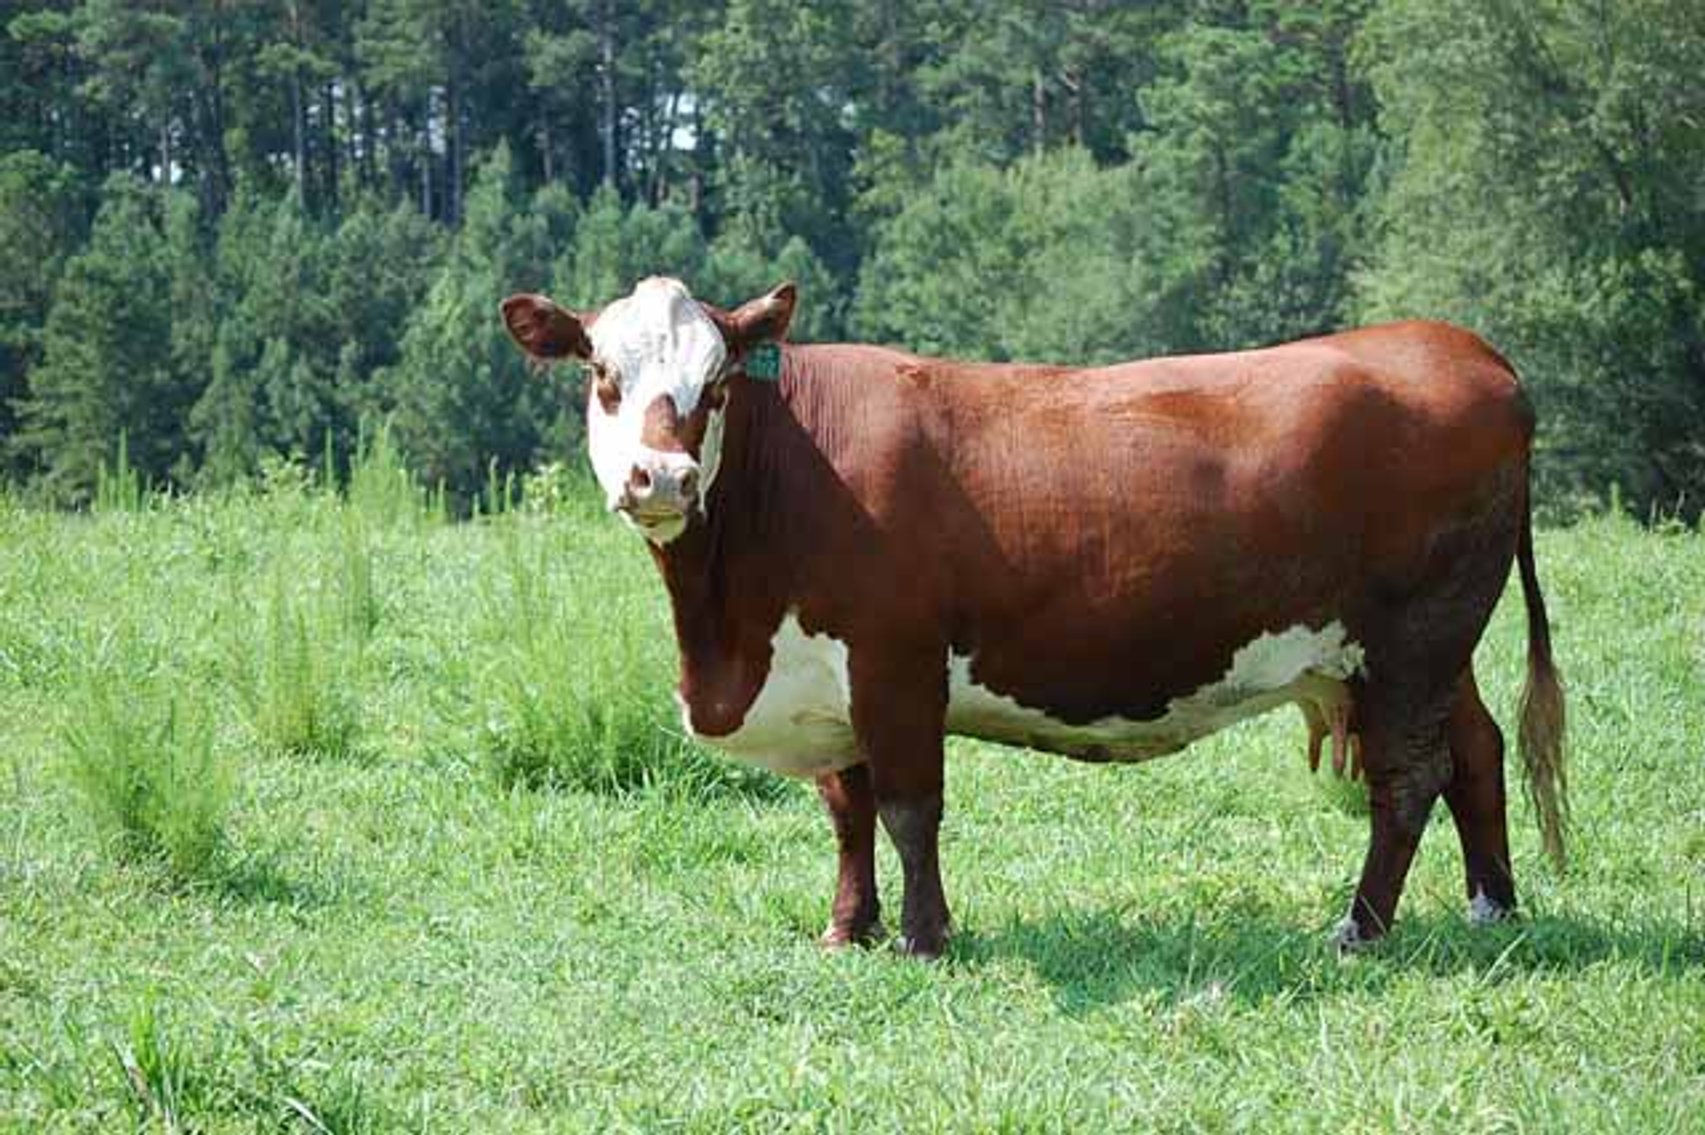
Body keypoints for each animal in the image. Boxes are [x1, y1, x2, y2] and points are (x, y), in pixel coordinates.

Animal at [500, 276, 1567, 958]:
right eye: (602, 374)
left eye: (715, 383)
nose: (662, 477)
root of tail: (1454, 344)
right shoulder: (825, 676)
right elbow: (847, 808)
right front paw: (849, 927)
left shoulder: (895, 659)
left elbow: (907, 806)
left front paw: (924, 937)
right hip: (1420, 651)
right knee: (1472, 750)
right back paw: (1492, 907)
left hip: (1414, 637)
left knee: (1407, 778)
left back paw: (1359, 928)